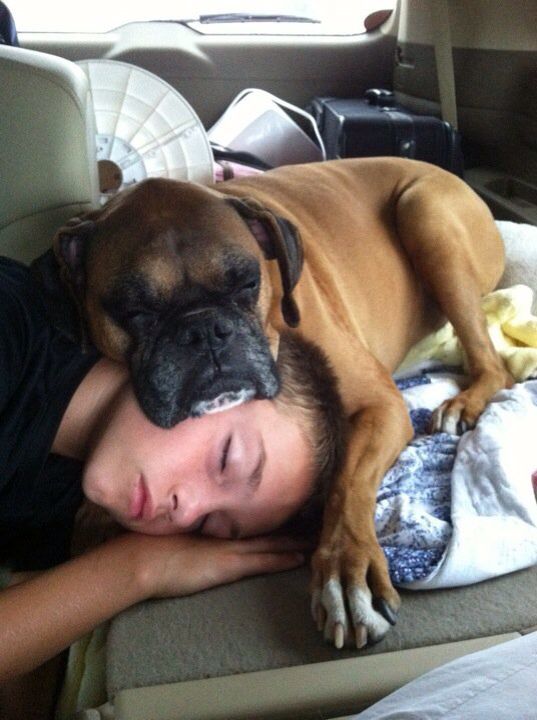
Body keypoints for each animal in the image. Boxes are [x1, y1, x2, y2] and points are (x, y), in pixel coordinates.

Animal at [38, 160, 510, 648]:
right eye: (136, 313)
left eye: (247, 283)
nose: (204, 330)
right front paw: (92, 521)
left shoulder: (380, 405)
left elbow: (346, 482)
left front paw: (346, 570)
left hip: (425, 215)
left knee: (494, 363)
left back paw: (465, 403)